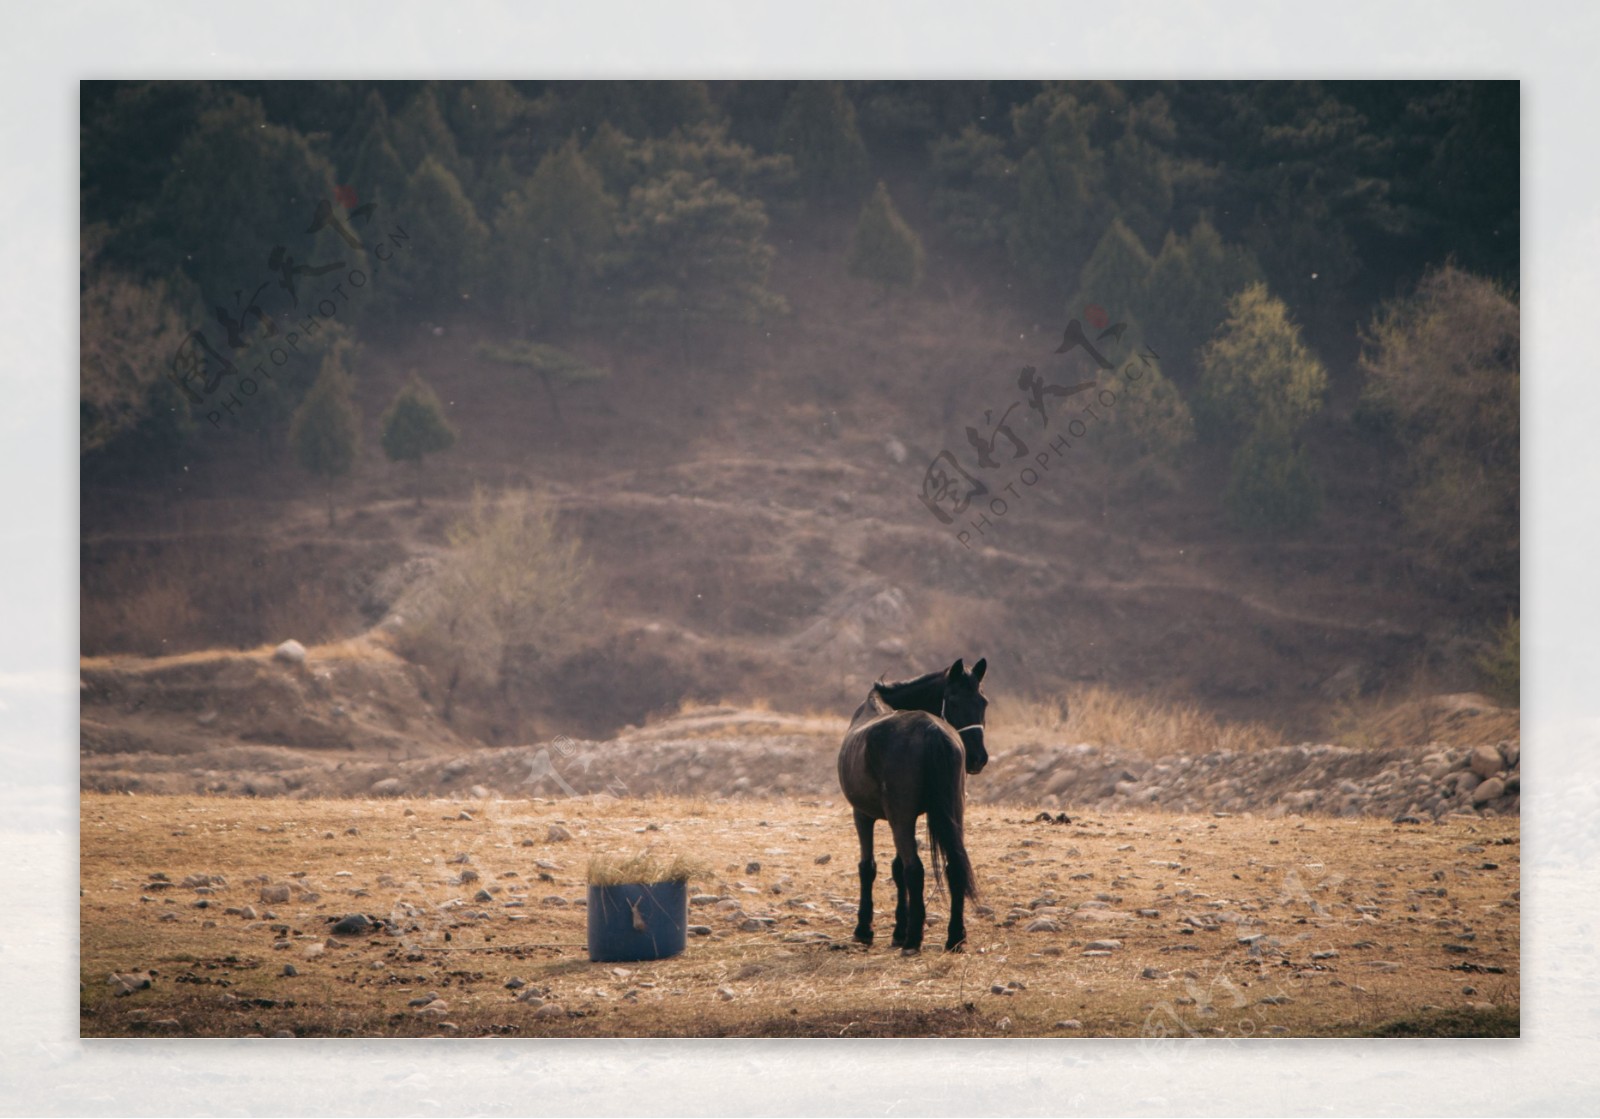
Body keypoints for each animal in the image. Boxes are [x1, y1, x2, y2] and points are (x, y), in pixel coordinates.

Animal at [838, 656, 985, 954]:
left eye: (982, 702)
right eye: (953, 701)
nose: (978, 758)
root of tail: (931, 730)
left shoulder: (864, 815)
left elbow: (869, 867)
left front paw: (865, 930)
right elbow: (896, 869)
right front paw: (898, 929)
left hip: (899, 817)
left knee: (915, 869)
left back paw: (914, 938)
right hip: (951, 813)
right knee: (954, 867)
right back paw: (955, 936)